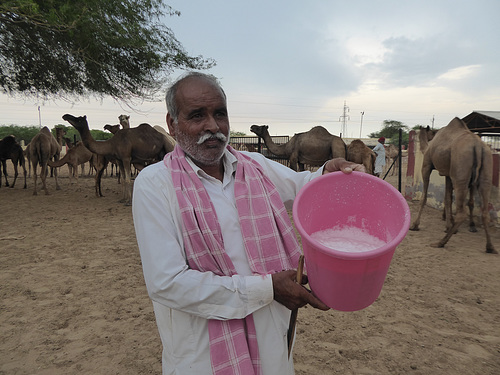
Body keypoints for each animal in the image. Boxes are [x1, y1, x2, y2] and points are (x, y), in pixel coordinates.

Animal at [410, 118, 496, 253]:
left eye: (430, 133)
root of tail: (477, 146)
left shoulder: (426, 165)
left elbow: (424, 197)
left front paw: (414, 225)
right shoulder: (448, 175)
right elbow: (447, 198)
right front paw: (448, 226)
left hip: (460, 173)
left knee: (461, 213)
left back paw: (440, 242)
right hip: (486, 172)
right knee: (485, 211)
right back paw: (490, 247)